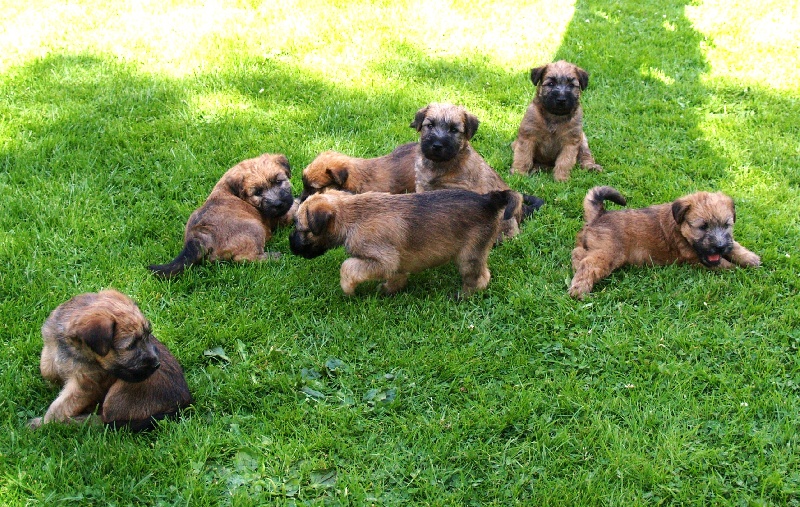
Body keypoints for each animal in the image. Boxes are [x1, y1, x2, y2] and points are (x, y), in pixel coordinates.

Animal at [28, 292, 194, 430]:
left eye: (148, 335)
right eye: (131, 346)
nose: (157, 364)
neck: (72, 348)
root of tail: (182, 404)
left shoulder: (84, 385)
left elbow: (60, 407)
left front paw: (44, 423)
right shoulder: (50, 347)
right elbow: (47, 368)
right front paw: (53, 382)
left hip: (121, 391)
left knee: (105, 421)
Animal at [148, 153, 294, 280]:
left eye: (278, 181)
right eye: (257, 192)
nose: (278, 203)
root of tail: (200, 235)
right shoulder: (276, 217)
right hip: (254, 228)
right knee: (244, 258)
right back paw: (272, 257)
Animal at [288, 189, 512, 296]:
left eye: (300, 229)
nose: (290, 243)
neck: (351, 216)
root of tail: (489, 200)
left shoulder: (382, 259)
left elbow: (348, 267)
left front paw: (348, 289)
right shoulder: (396, 263)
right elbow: (397, 276)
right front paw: (389, 290)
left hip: (469, 256)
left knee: (479, 278)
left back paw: (462, 295)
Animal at [410, 102, 548, 241]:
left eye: (454, 130)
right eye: (430, 125)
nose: (437, 145)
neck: (441, 165)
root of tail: (522, 211)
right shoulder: (422, 186)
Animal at [568, 186, 764, 298]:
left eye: (726, 225)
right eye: (702, 227)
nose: (720, 246)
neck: (680, 227)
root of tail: (600, 214)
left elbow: (734, 245)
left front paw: (750, 258)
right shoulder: (695, 258)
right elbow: (724, 265)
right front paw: (736, 269)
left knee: (578, 253)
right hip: (609, 253)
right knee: (588, 264)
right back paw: (579, 289)